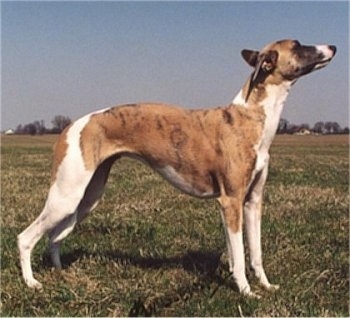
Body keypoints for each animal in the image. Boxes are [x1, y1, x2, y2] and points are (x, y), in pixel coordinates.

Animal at [17, 40, 334, 298]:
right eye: (298, 45)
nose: (333, 47)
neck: (249, 117)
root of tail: (71, 125)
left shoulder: (252, 202)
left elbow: (253, 253)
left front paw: (266, 286)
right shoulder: (230, 201)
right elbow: (240, 255)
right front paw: (246, 292)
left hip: (86, 199)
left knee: (54, 237)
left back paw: (59, 273)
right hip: (66, 196)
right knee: (26, 238)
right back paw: (32, 283)